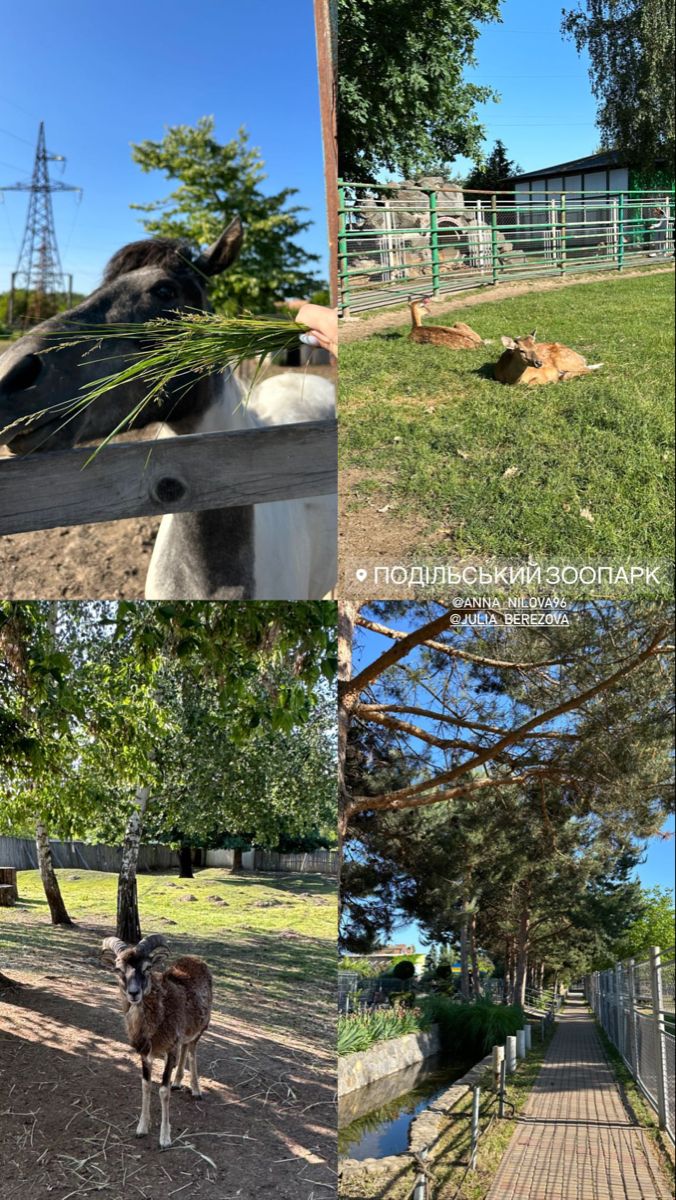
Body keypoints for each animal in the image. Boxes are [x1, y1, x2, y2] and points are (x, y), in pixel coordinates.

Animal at [99, 931, 211, 1147]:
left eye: (147, 967)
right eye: (118, 969)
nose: (134, 993)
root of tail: (196, 959)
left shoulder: (170, 1048)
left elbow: (163, 1090)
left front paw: (165, 1138)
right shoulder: (145, 1053)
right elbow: (146, 1085)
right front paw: (142, 1128)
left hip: (200, 1028)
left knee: (192, 1052)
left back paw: (196, 1090)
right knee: (185, 1050)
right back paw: (178, 1082)